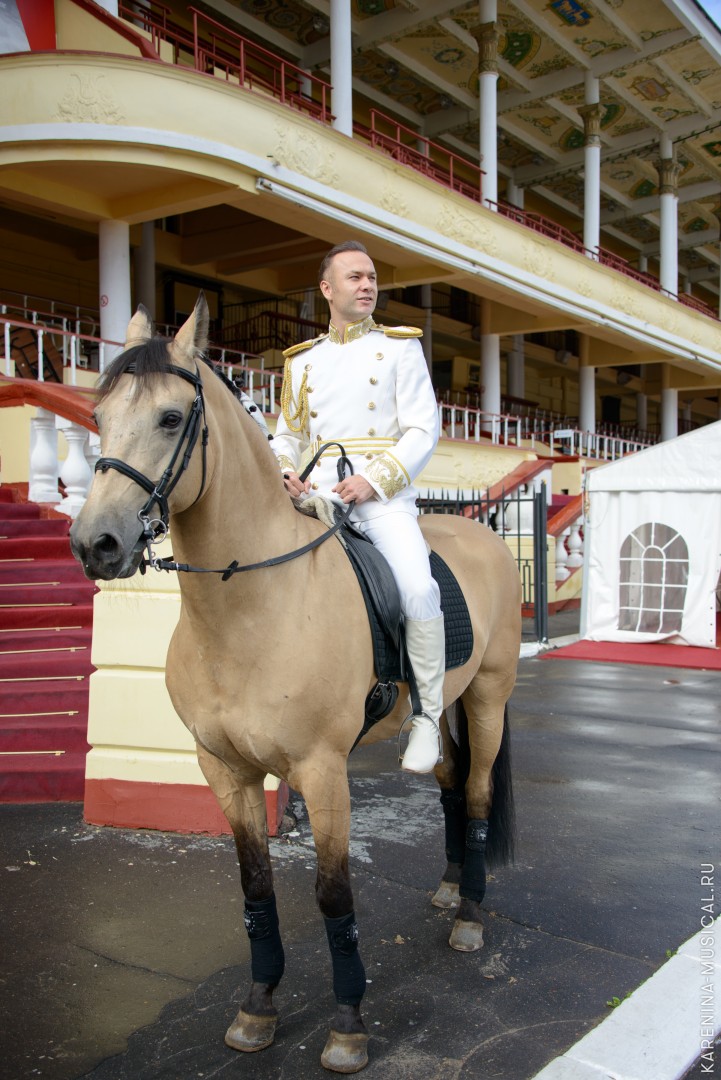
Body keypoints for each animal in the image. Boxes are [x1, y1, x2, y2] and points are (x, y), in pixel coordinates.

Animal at [70, 293, 520, 1071]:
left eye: (170, 418)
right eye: (98, 416)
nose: (95, 544)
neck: (249, 605)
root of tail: (483, 535)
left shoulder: (321, 769)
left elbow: (333, 895)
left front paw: (347, 1024)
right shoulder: (224, 769)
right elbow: (255, 889)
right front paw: (257, 1009)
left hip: (489, 698)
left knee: (479, 791)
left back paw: (468, 914)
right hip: (446, 708)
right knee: (449, 783)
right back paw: (448, 886)